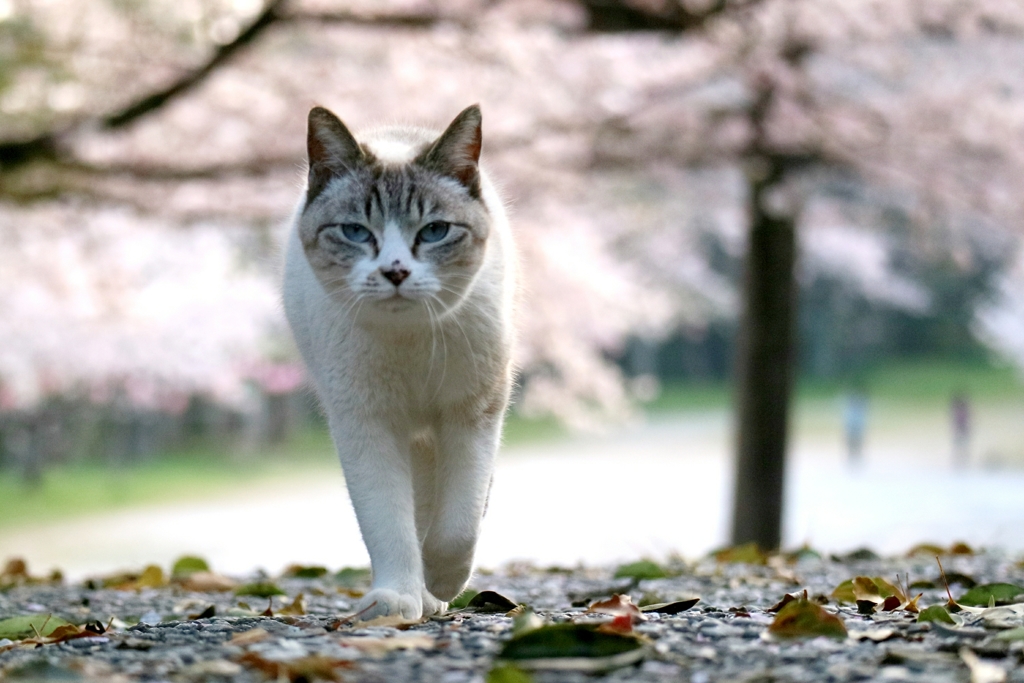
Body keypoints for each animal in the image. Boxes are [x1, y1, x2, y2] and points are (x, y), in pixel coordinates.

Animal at [282, 105, 516, 618]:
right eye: (355, 231)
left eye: (434, 231)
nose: (395, 272)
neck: (411, 340)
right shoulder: (366, 423)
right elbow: (387, 521)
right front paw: (399, 597)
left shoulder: (472, 415)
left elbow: (459, 524)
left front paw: (442, 580)